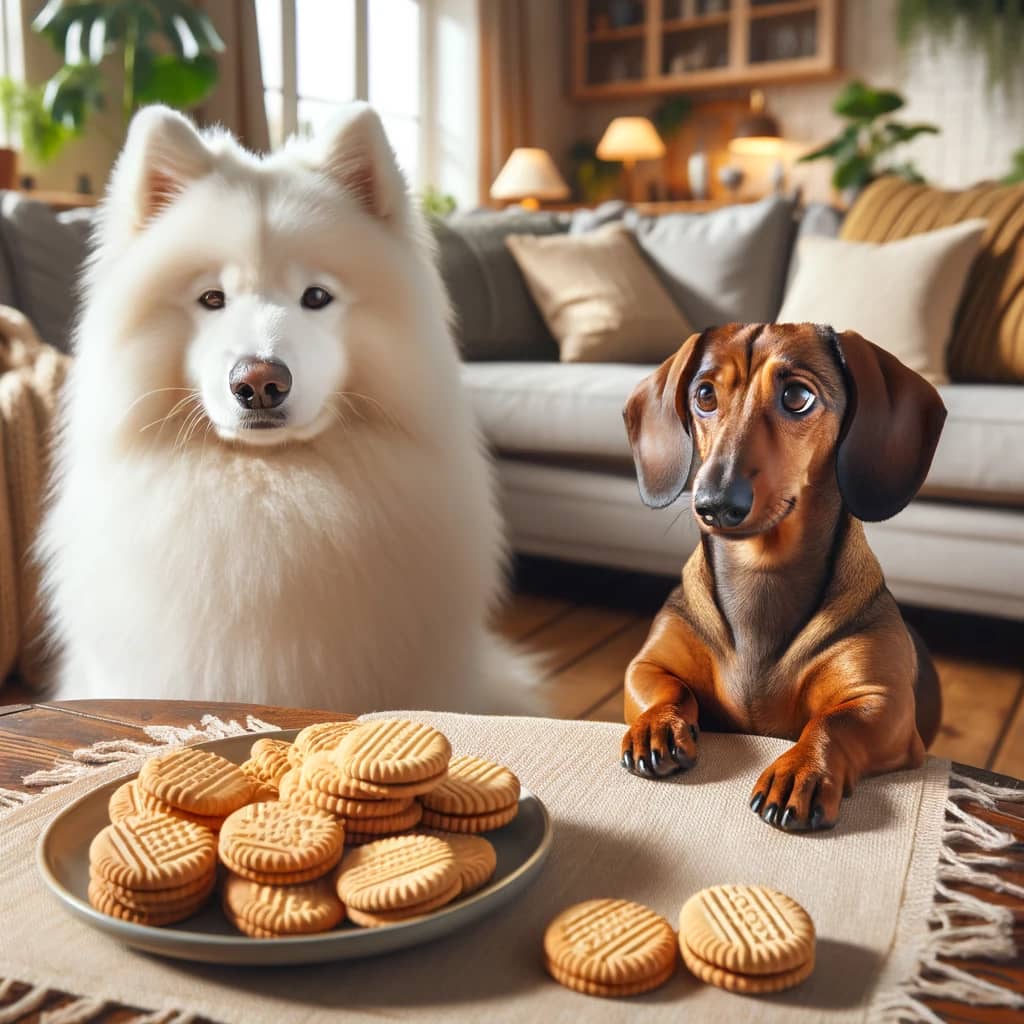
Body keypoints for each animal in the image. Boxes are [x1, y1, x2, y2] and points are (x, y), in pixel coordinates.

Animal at [614, 323, 942, 827]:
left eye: (797, 397)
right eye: (704, 396)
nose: (714, 503)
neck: (760, 571)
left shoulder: (883, 703)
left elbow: (831, 721)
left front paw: (799, 770)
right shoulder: (648, 664)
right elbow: (663, 688)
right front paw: (657, 726)